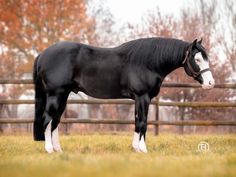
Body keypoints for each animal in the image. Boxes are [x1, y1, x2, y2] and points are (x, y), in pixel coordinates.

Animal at [33, 37, 216, 153]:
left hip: (62, 95)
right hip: (55, 95)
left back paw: (58, 149)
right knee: (47, 119)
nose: (210, 83)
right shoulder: (143, 97)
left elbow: (136, 122)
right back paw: (49, 149)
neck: (148, 62)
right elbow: (143, 123)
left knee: (55, 121)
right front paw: (143, 149)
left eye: (206, 58)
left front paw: (135, 148)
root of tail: (43, 54)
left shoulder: (138, 99)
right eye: (197, 59)